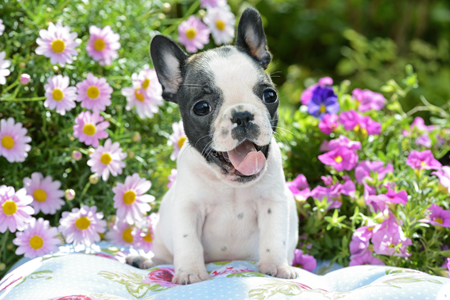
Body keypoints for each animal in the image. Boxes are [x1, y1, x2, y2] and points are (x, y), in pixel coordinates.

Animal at [126, 7, 298, 284]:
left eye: (270, 95)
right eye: (201, 108)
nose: (242, 115)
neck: (231, 185)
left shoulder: (273, 203)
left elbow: (274, 237)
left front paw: (276, 266)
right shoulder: (187, 208)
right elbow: (188, 242)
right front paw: (190, 273)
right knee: (163, 254)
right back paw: (147, 260)